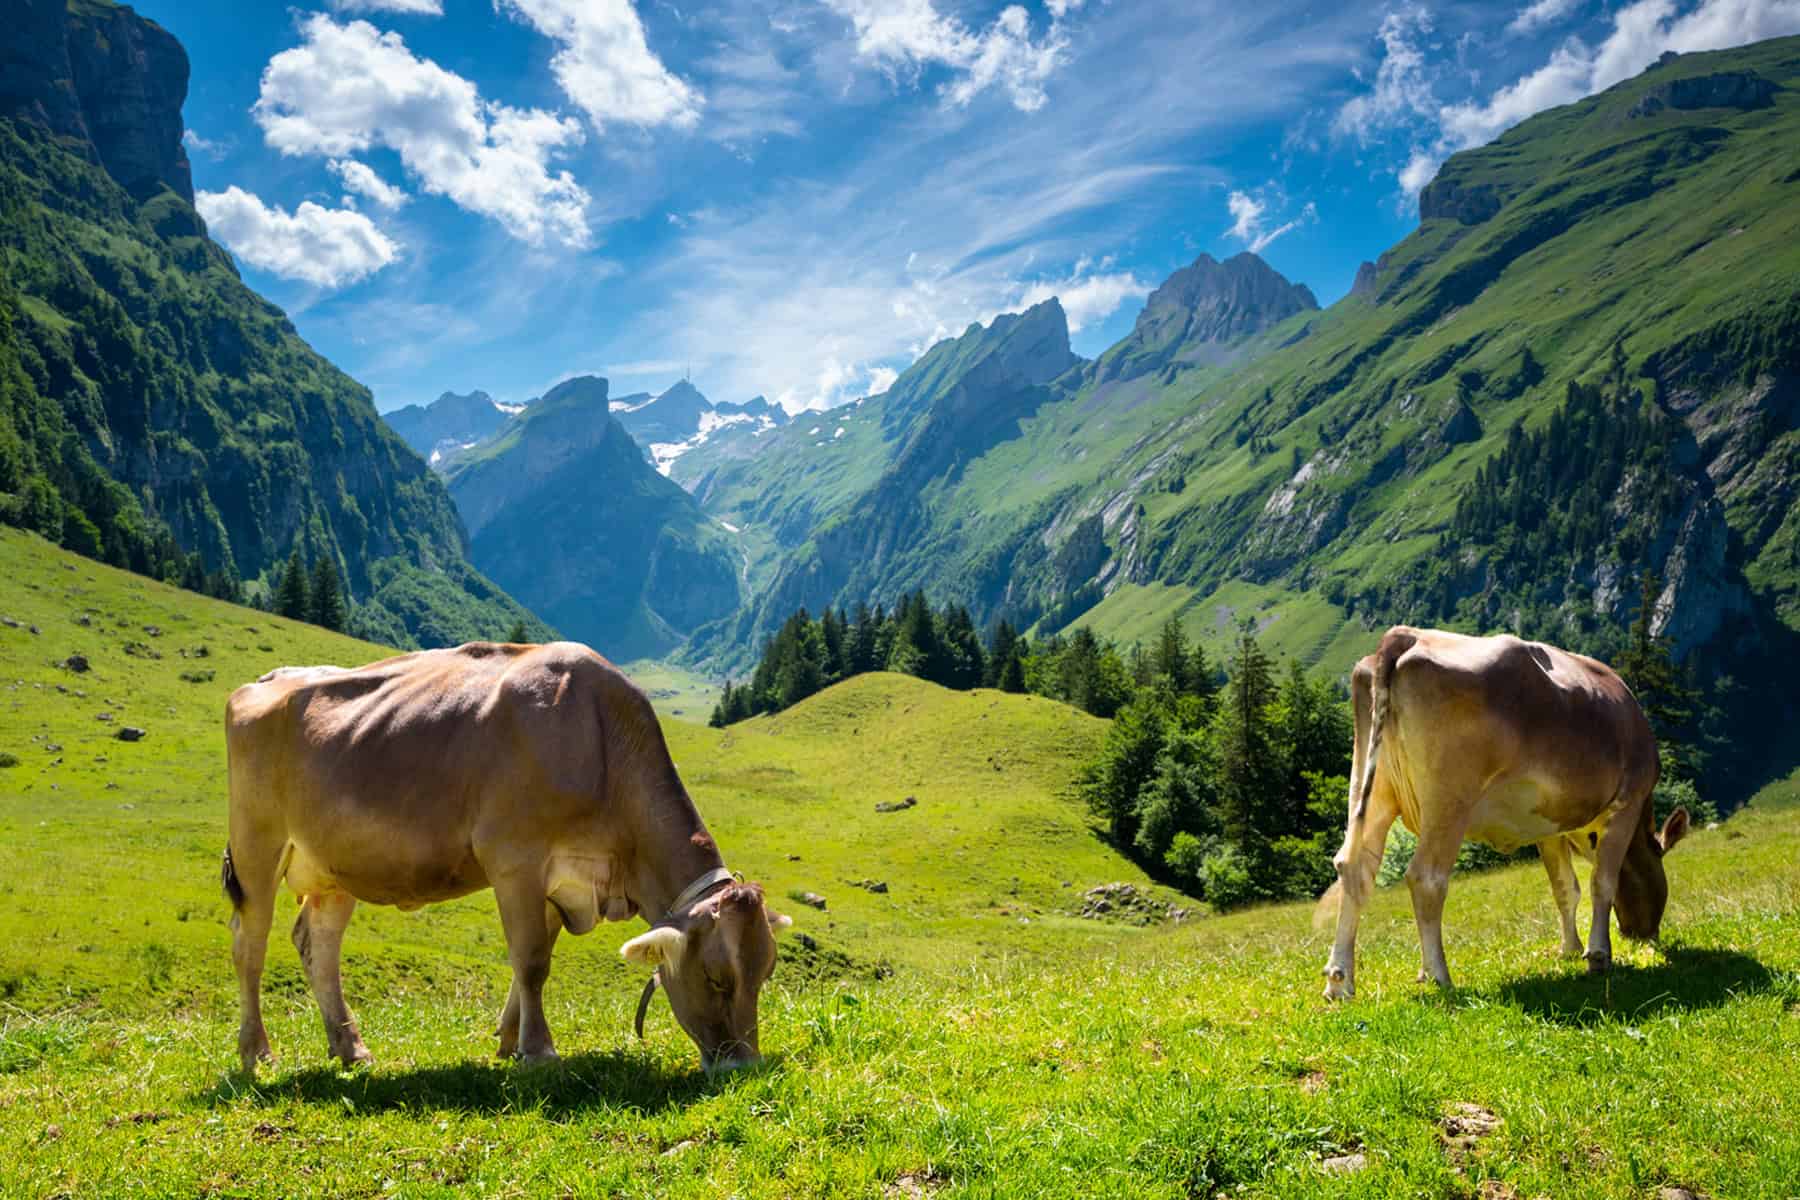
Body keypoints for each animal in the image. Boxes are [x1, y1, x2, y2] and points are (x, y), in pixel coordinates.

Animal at [221, 641, 791, 1074]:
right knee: (250, 945)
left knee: (317, 945)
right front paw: (539, 1051)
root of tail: (267, 679)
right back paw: (257, 1054)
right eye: (717, 978)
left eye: (765, 973)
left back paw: (350, 1048)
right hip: (256, 844)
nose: (743, 1065)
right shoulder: (516, 860)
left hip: (332, 866)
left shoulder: (563, 881)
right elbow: (532, 960)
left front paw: (510, 1039)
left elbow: (530, 962)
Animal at [1322, 626, 1689, 1001]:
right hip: (1448, 801)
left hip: (1371, 786)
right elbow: (1602, 880)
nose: (1644, 936)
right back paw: (1439, 976)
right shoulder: (1628, 800)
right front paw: (1598, 955)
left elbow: (1565, 888)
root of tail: (1407, 635)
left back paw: (1340, 982)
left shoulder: (1551, 827)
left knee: (1353, 867)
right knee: (1426, 877)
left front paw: (1569, 949)